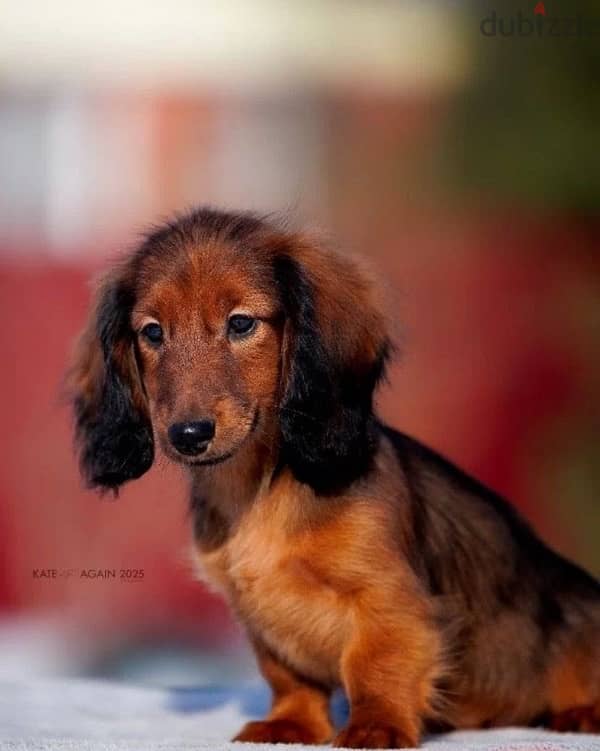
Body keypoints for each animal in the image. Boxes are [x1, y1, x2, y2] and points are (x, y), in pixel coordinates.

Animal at [71, 206, 600, 748]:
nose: (188, 435)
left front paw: (375, 726)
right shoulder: (261, 616)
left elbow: (374, 665)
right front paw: (291, 724)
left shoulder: (387, 597)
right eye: (153, 333)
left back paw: (582, 713)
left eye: (241, 323)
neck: (260, 490)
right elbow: (289, 677)